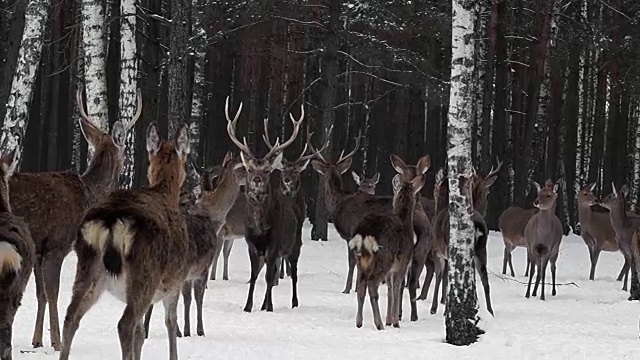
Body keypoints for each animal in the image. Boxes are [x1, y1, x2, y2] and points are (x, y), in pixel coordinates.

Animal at [8, 88, 139, 352]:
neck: (88, 196)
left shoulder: (39, 250)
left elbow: (40, 294)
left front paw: (37, 340)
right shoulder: (57, 245)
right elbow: (53, 292)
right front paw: (57, 341)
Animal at [59, 122, 191, 358]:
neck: (165, 193)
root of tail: (111, 221)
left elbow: (141, 334)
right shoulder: (176, 280)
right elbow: (170, 323)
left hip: (88, 267)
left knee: (71, 315)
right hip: (145, 273)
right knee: (125, 324)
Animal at [225, 96, 304, 312]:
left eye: (268, 170)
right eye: (250, 169)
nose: (257, 179)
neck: (260, 227)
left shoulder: (274, 245)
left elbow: (269, 277)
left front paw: (268, 308)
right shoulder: (251, 244)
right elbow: (254, 276)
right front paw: (248, 306)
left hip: (295, 243)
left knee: (293, 273)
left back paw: (294, 302)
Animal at [350, 173, 424, 330]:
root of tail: (365, 233)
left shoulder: (391, 270)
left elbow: (390, 289)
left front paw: (389, 320)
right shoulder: (403, 263)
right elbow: (397, 288)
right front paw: (395, 322)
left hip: (361, 259)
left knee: (361, 287)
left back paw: (359, 322)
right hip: (384, 257)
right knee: (372, 284)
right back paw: (379, 324)